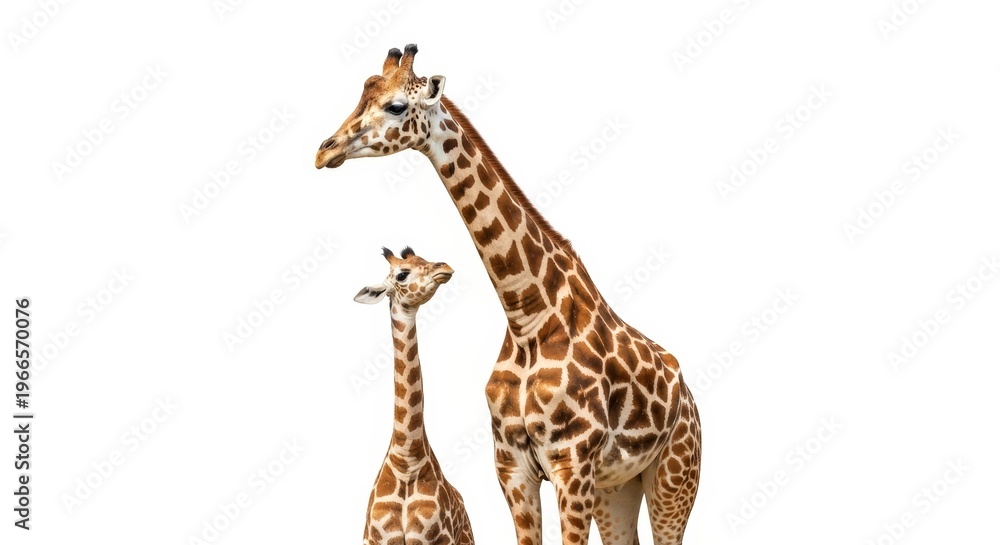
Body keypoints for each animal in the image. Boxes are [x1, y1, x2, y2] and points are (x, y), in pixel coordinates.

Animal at [354, 246, 475, 545]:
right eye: (402, 274)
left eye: (424, 259)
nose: (444, 267)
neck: (406, 458)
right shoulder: (376, 539)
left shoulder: (439, 539)